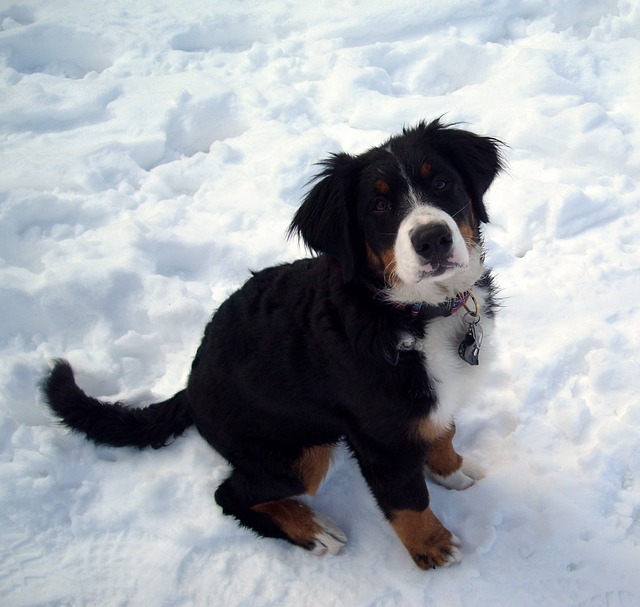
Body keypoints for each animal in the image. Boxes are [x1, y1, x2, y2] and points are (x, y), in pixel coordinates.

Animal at [43, 121, 504, 572]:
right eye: (378, 206)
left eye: (441, 183)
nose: (432, 239)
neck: (419, 311)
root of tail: (189, 388)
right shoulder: (380, 438)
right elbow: (407, 501)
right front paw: (433, 547)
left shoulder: (430, 402)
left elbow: (443, 431)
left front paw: (453, 471)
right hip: (300, 451)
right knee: (230, 494)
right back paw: (313, 529)